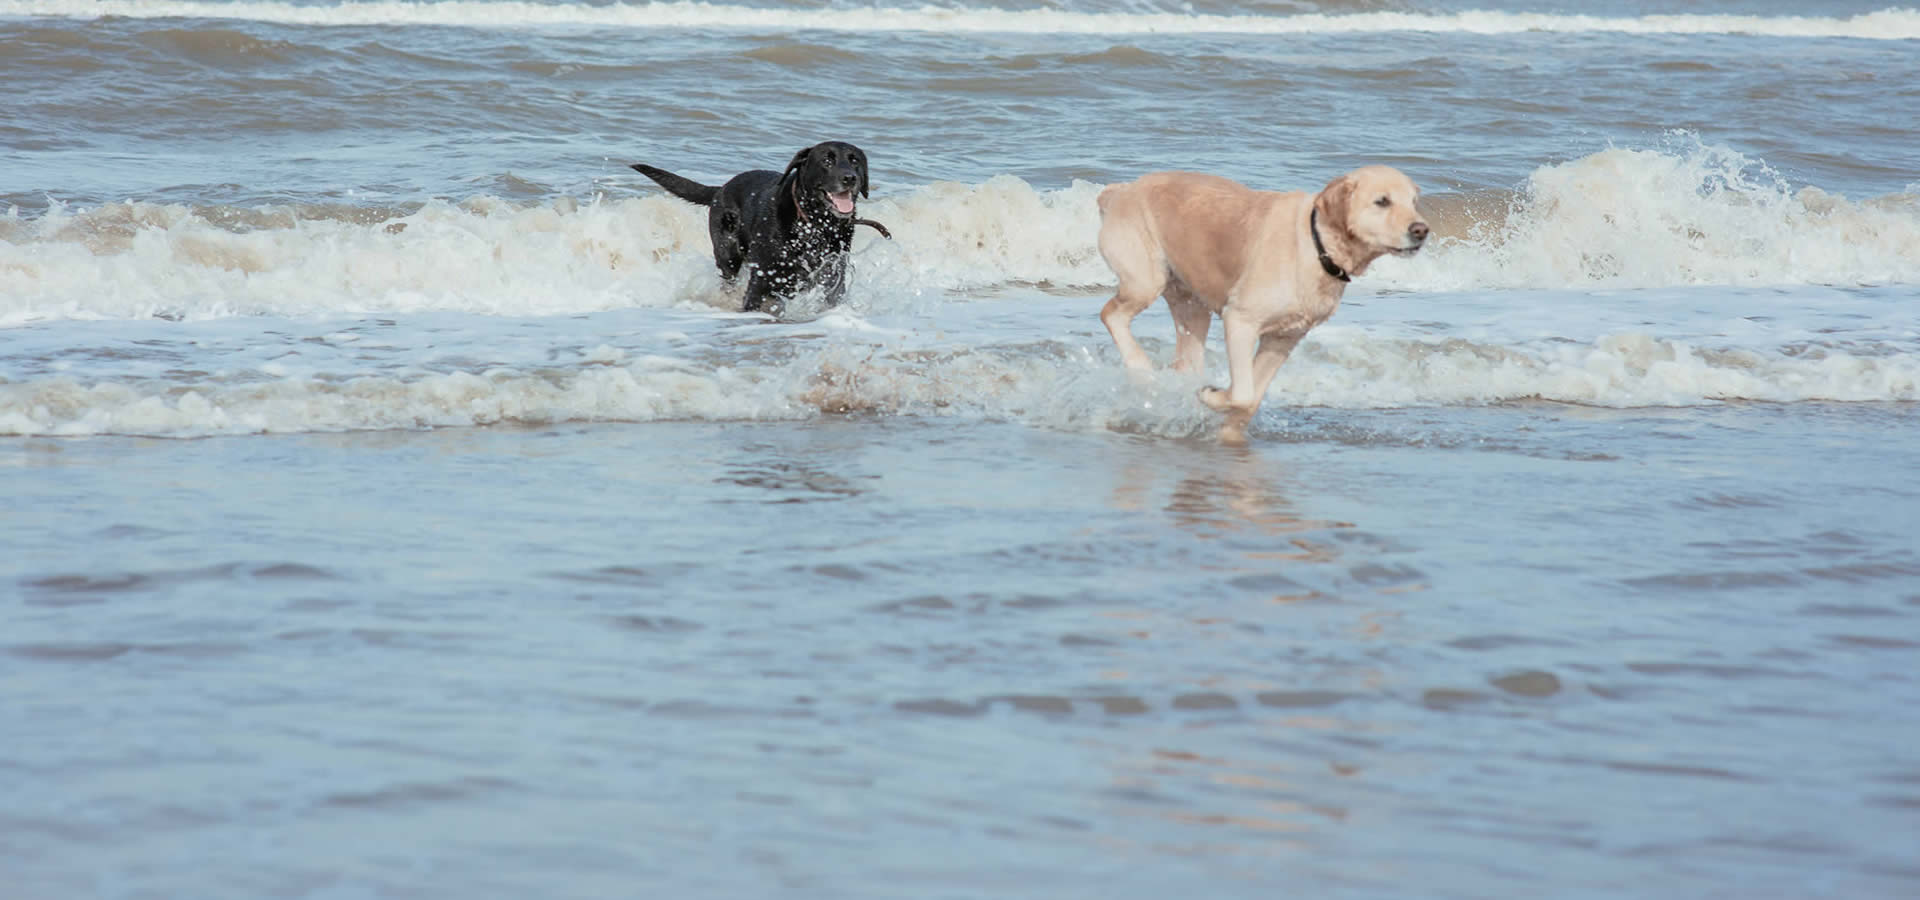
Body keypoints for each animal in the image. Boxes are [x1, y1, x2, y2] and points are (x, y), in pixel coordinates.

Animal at [637, 138, 890, 312]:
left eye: (855, 161)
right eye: (827, 160)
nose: (850, 178)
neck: (814, 226)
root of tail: (721, 189)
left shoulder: (832, 278)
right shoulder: (762, 281)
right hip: (727, 255)